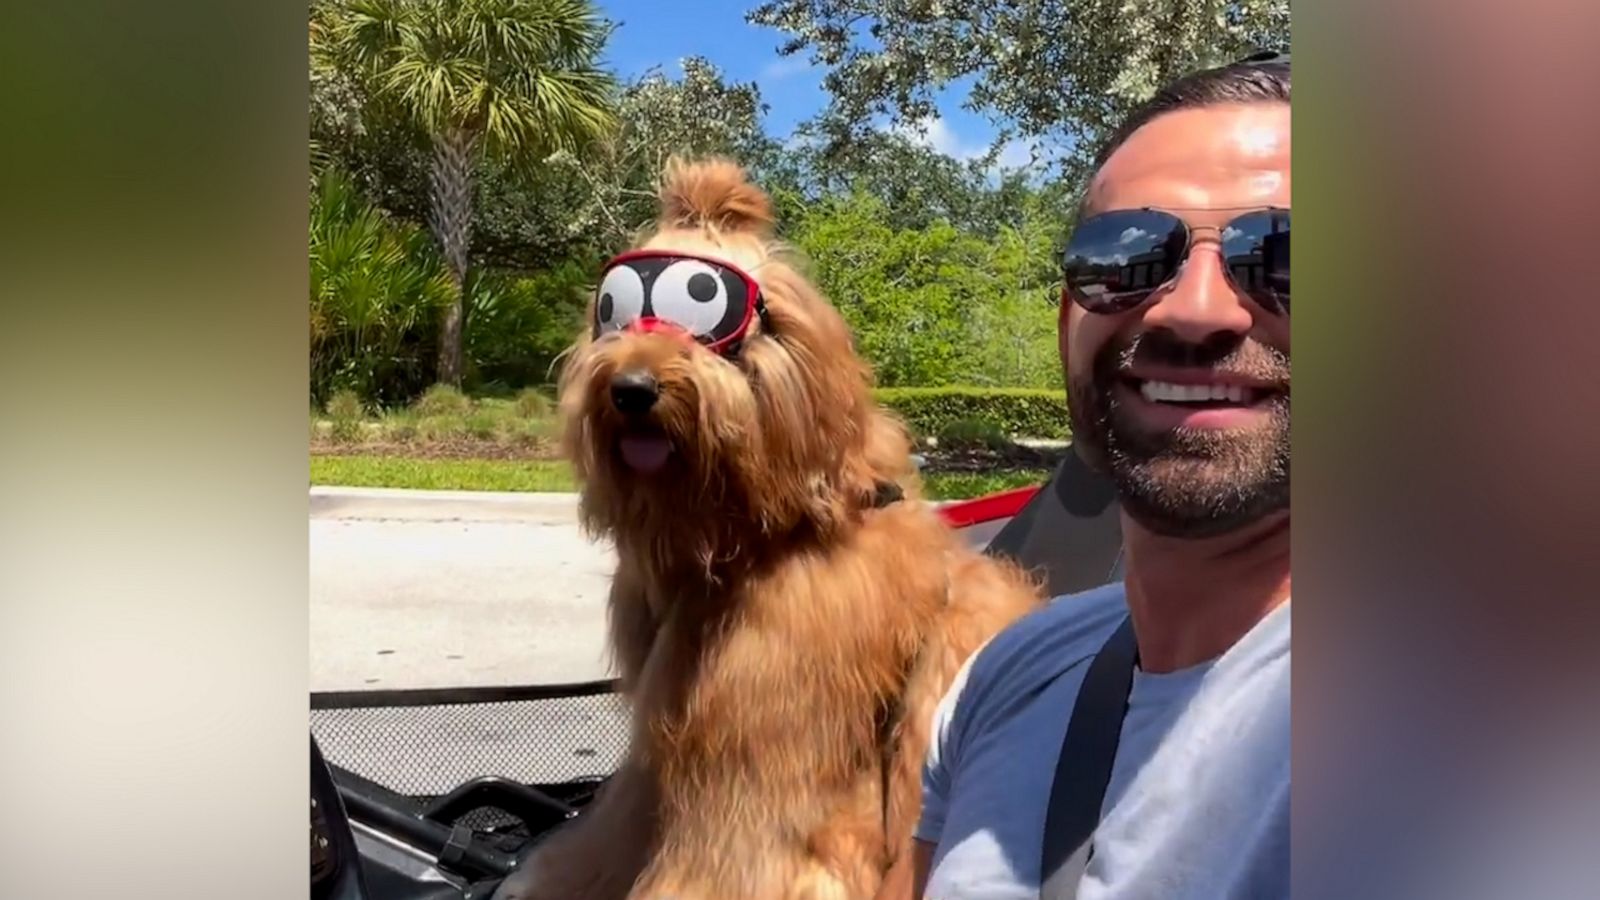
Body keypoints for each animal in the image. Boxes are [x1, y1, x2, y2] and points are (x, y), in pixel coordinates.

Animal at [496, 159, 1036, 896]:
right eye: (612, 312)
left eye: (703, 304)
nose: (631, 388)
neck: (754, 539)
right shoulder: (662, 740)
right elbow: (621, 821)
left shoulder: (760, 757)